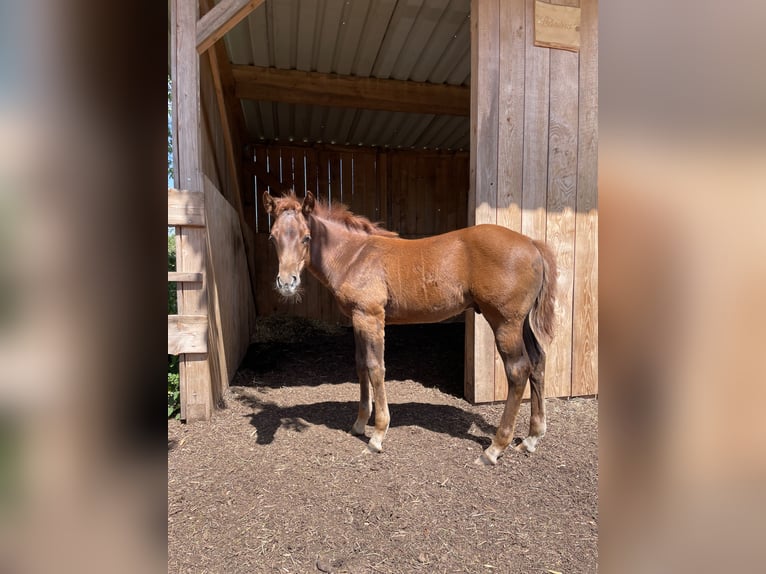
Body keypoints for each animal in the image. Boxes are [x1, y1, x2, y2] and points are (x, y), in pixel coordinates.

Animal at [263, 190, 557, 465]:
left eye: (306, 237)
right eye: (273, 237)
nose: (286, 283)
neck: (354, 256)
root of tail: (532, 244)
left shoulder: (371, 317)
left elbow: (376, 368)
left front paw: (378, 435)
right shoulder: (357, 318)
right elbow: (360, 365)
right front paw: (359, 424)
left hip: (504, 322)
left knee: (518, 370)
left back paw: (495, 448)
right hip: (521, 323)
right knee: (538, 361)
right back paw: (531, 438)